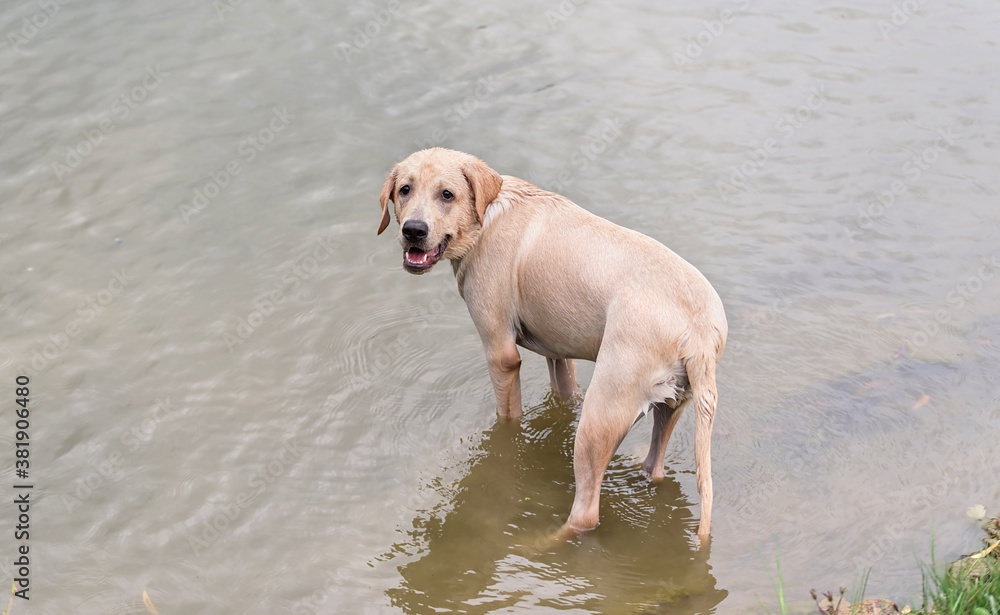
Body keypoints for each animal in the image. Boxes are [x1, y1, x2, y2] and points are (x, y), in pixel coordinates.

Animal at [376, 147, 728, 540]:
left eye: (447, 194)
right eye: (405, 190)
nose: (413, 230)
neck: (488, 216)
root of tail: (700, 330)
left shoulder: (501, 355)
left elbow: (508, 419)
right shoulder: (559, 355)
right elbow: (562, 391)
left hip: (600, 418)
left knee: (585, 514)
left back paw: (537, 541)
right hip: (673, 403)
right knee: (655, 467)